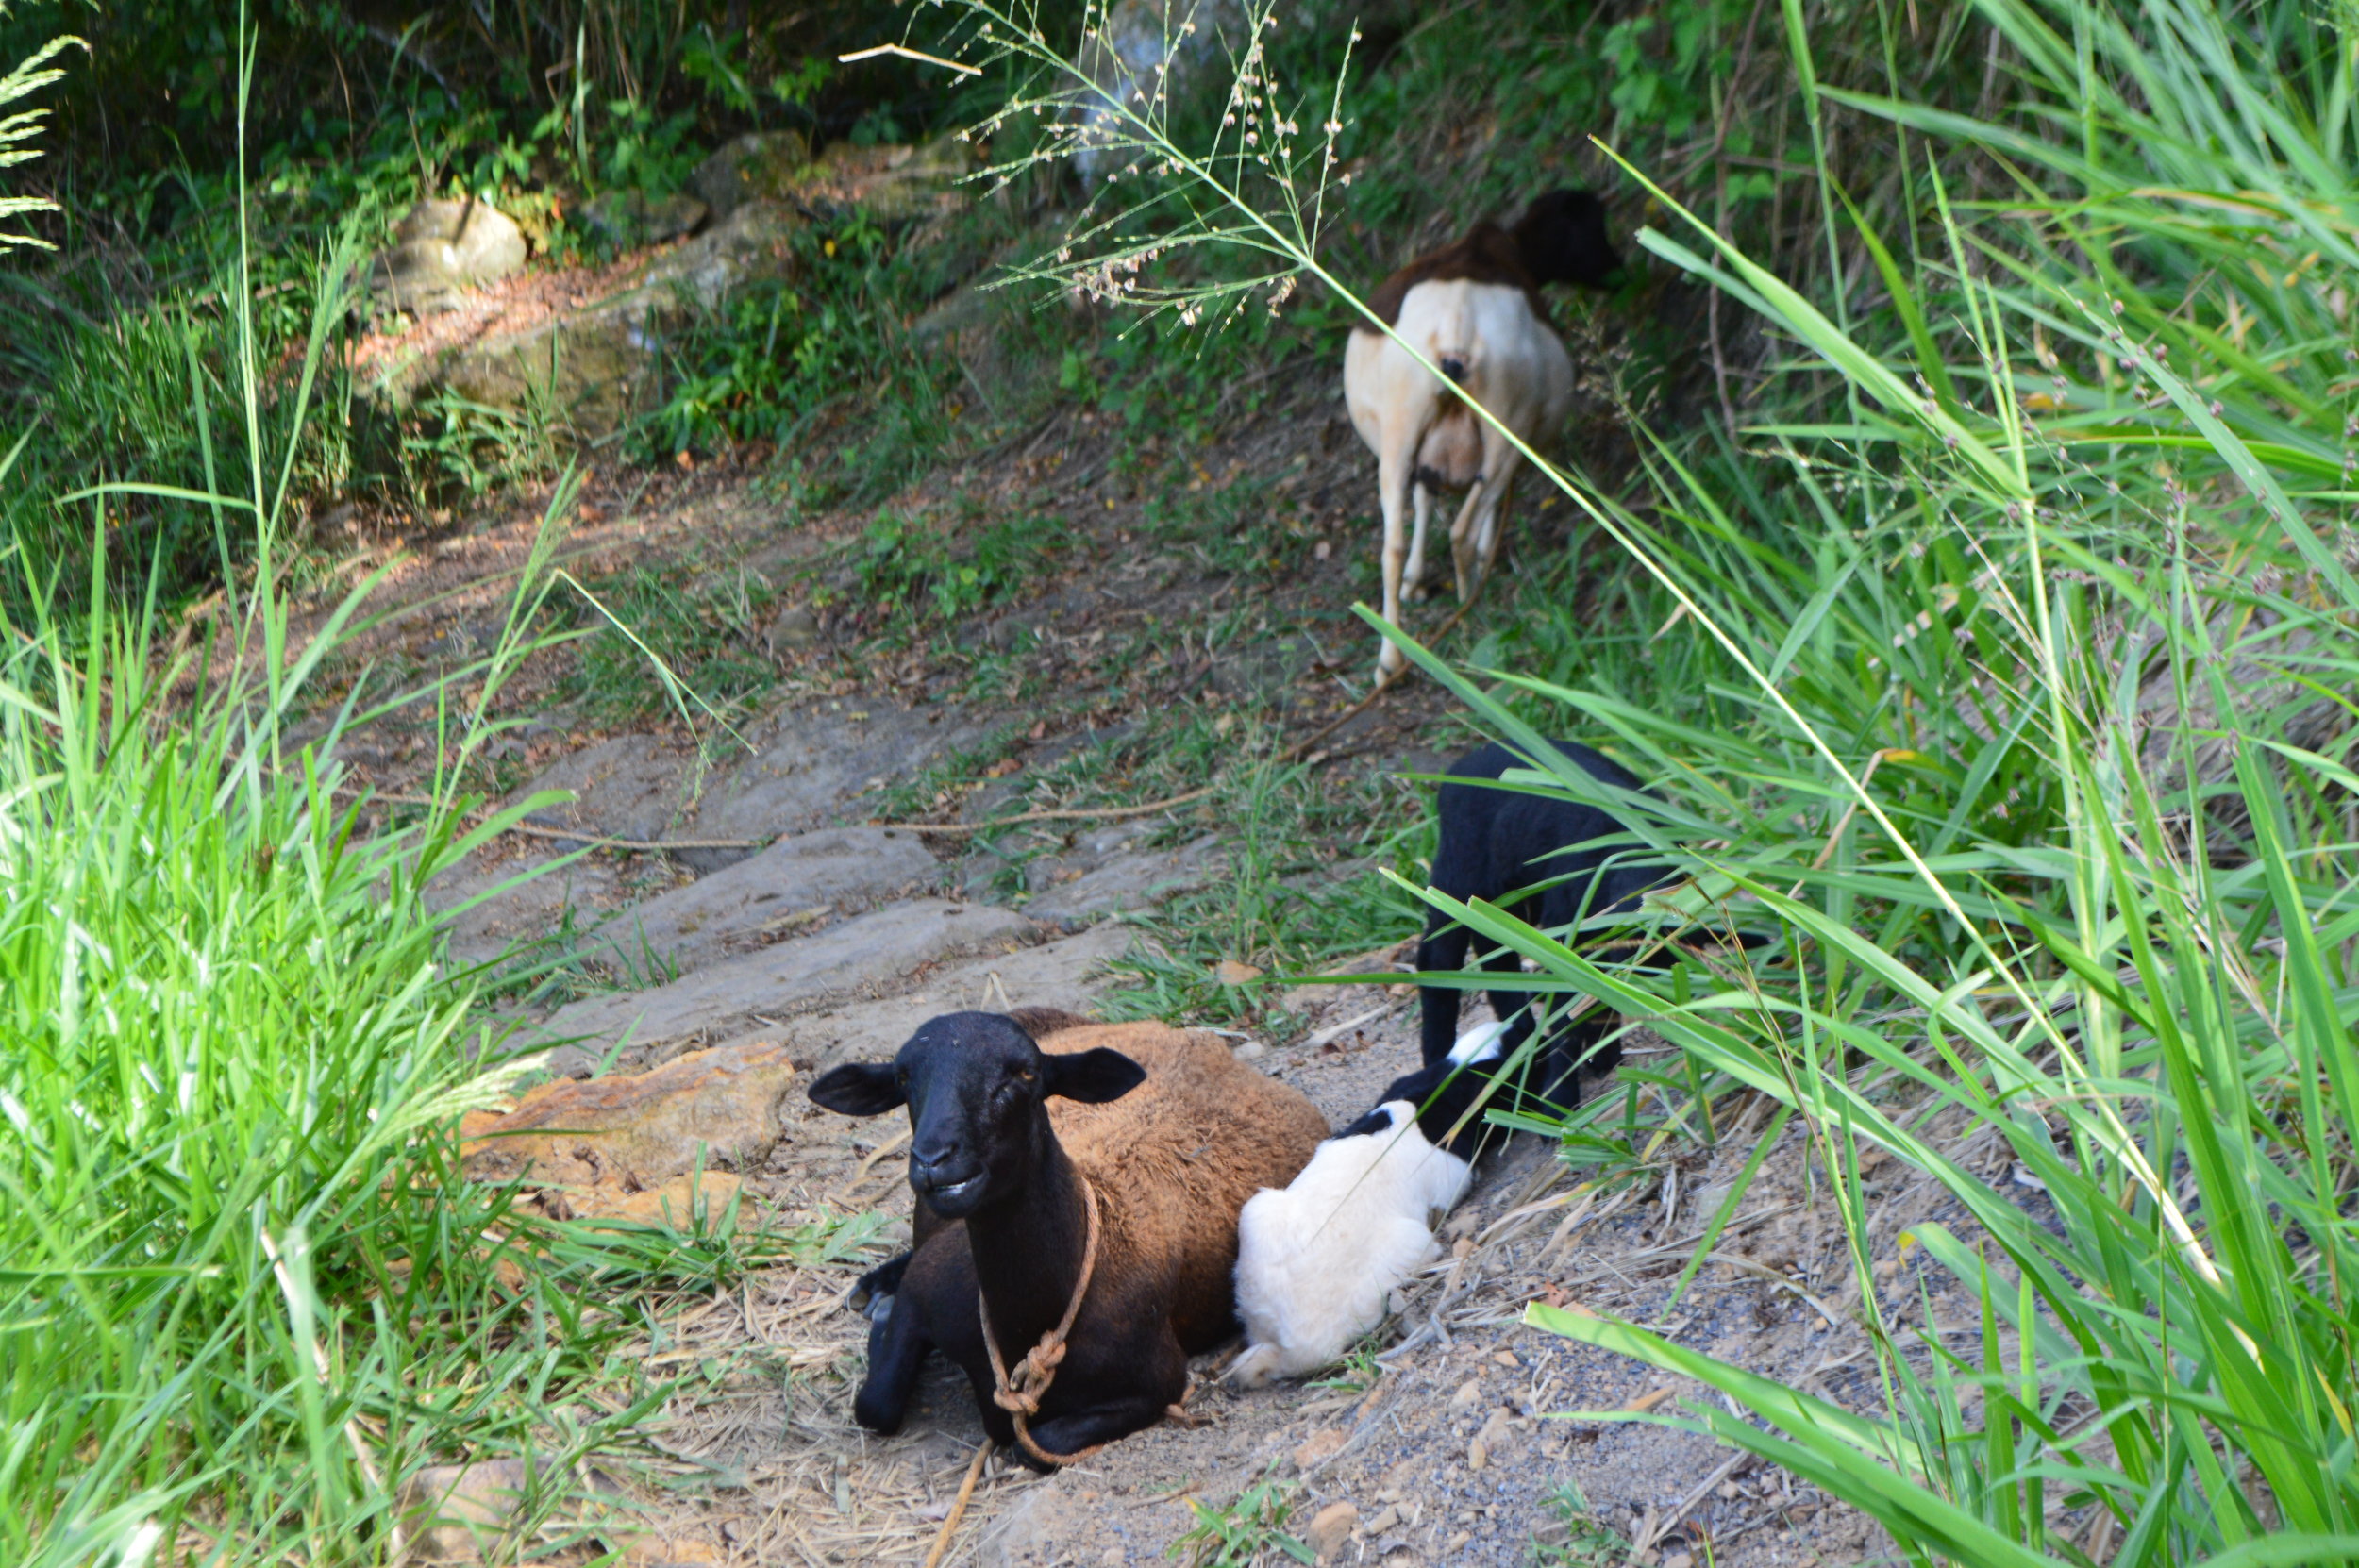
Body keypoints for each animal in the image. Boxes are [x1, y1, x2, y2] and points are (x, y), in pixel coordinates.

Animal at [808, 1009, 1327, 1467]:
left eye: (1025, 1072)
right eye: (901, 1079)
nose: (934, 1160)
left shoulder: (1159, 1381)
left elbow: (1033, 1446)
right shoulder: (925, 1288)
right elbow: (875, 1405)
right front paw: (882, 1318)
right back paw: (876, 1287)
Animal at [1343, 190, 1621, 678]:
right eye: (1593, 228)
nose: (1619, 266)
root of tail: (1459, 325)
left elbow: (1424, 497)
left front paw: (1415, 580)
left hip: (1400, 434)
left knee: (1392, 544)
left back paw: (1391, 658)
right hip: (1507, 431)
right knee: (1463, 530)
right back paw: (1469, 600)